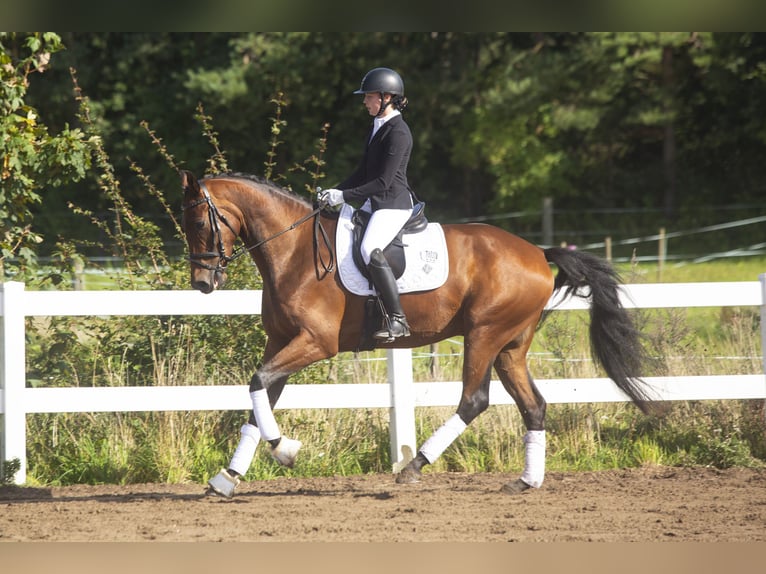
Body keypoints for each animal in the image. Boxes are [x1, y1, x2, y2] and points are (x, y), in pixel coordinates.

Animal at [180, 170, 656, 500]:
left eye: (200, 223)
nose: (203, 284)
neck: (295, 251)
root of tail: (538, 253)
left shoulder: (314, 343)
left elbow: (258, 383)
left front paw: (286, 450)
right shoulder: (280, 342)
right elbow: (258, 398)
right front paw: (227, 478)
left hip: (484, 335)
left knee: (474, 400)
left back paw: (414, 467)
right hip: (510, 347)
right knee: (533, 406)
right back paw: (525, 481)